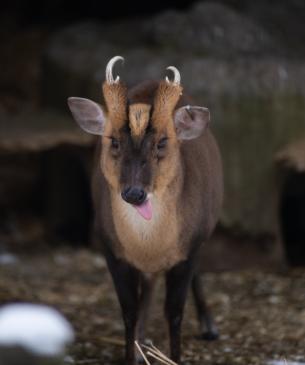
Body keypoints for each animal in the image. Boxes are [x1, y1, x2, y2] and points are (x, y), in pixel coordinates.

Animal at [67, 55, 222, 362]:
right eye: (113, 141)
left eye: (162, 141)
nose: (134, 193)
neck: (149, 244)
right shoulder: (110, 248)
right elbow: (129, 311)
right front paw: (131, 354)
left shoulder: (190, 248)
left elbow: (174, 313)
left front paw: (175, 358)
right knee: (148, 286)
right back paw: (142, 341)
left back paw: (209, 327)